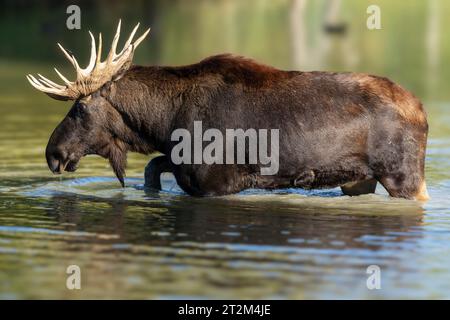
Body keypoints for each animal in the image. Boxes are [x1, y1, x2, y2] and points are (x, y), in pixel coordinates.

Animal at [27, 21, 428, 200]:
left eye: (80, 108)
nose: (52, 153)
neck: (162, 124)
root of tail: (423, 111)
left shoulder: (217, 182)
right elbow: (153, 169)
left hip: (403, 175)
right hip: (358, 180)